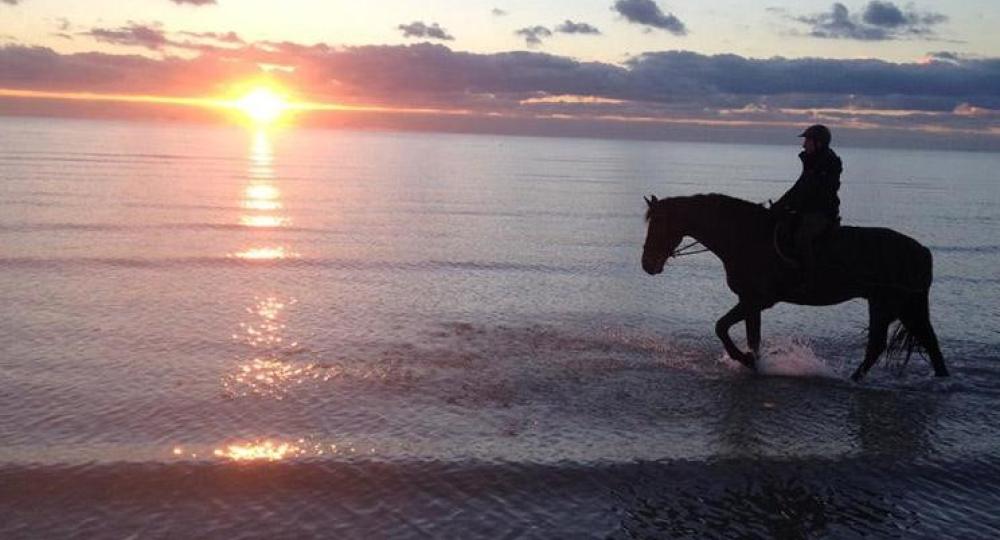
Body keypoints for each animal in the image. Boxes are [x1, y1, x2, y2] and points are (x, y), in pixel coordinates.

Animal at [644, 192, 948, 382]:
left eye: (658, 223)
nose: (647, 264)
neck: (745, 236)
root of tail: (922, 251)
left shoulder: (756, 300)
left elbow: (721, 327)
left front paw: (746, 360)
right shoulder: (751, 302)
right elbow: (750, 337)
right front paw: (753, 362)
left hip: (889, 304)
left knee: (884, 345)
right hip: (900, 305)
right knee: (925, 343)